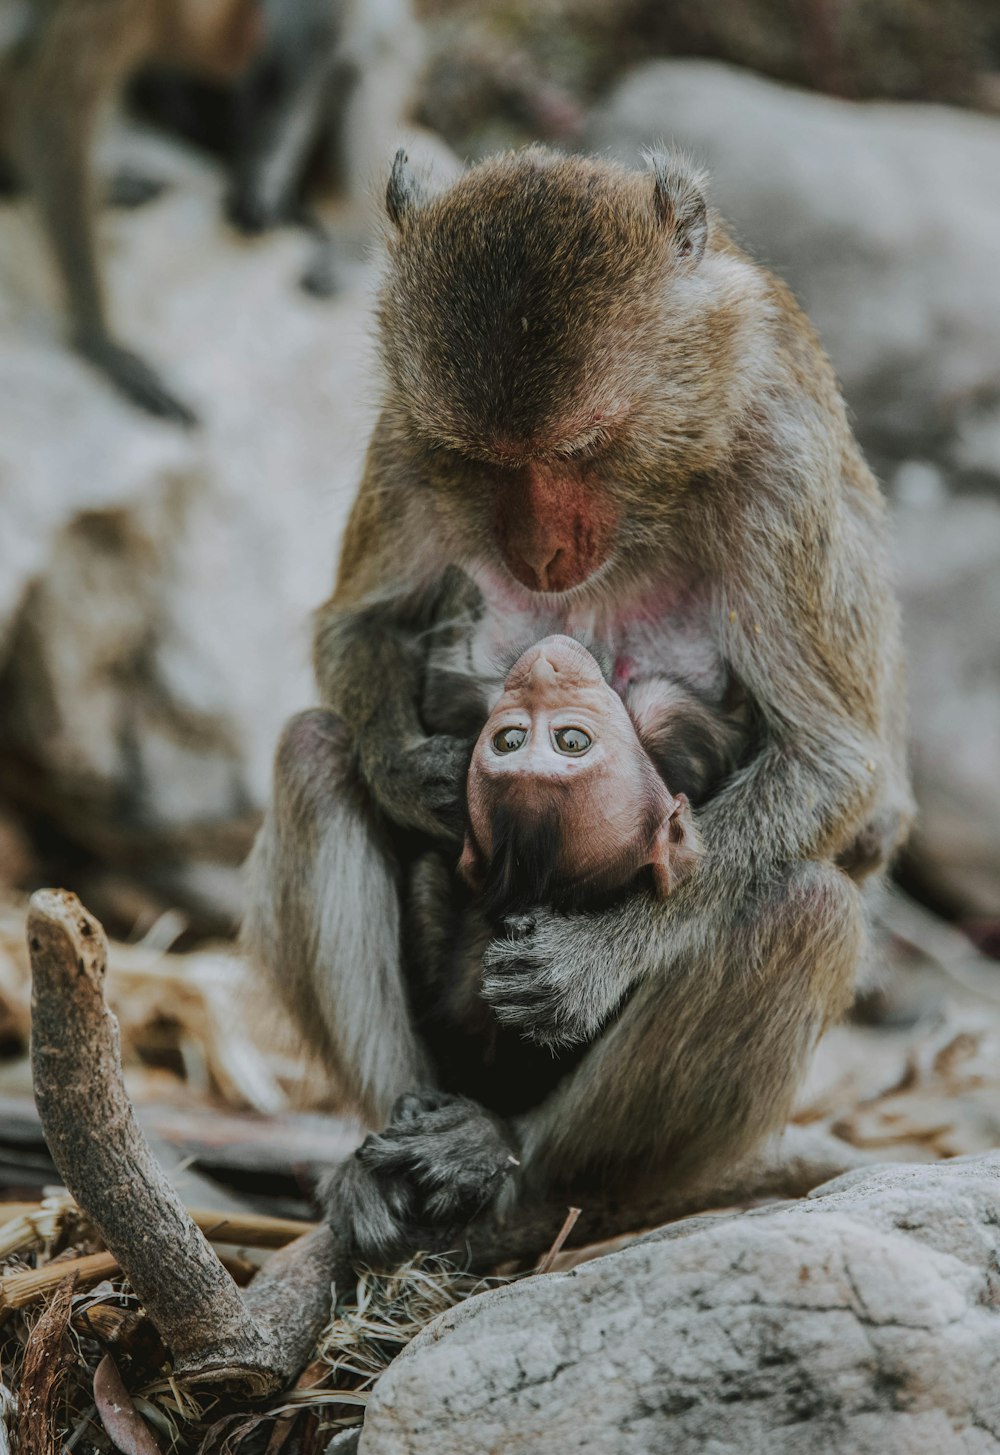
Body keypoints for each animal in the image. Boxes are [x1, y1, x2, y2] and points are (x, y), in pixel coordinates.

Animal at [244, 147, 914, 1262]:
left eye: (585, 447)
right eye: (484, 460)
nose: (541, 553)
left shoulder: (778, 460)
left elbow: (835, 763)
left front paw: (593, 961)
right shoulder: (408, 435)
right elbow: (357, 626)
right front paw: (415, 776)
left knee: (806, 908)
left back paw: (511, 1166)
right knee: (311, 754)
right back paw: (396, 1145)